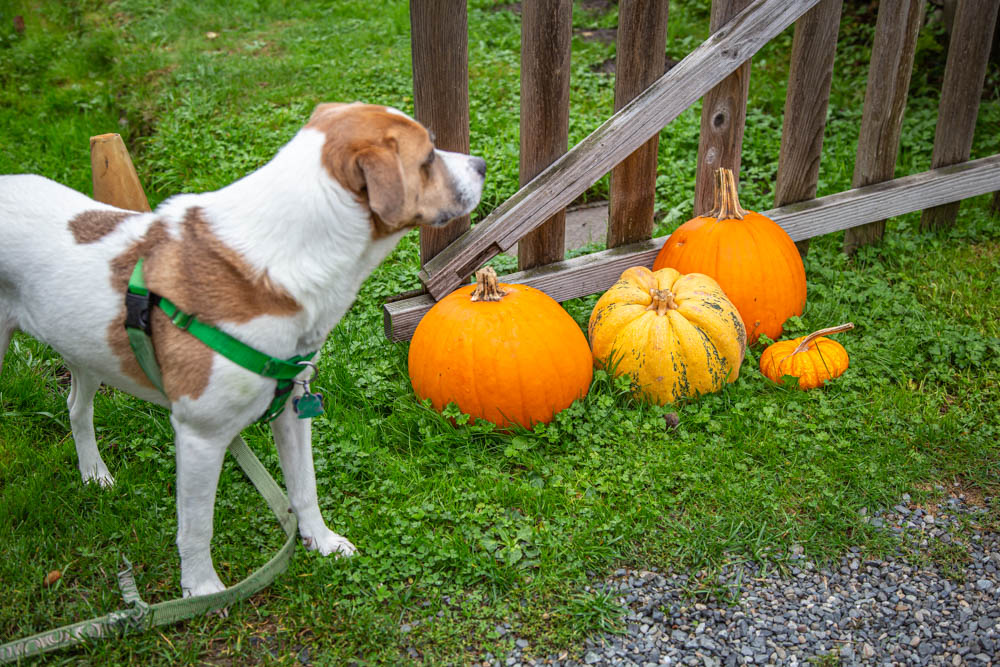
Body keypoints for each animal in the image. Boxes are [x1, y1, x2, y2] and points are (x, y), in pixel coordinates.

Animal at [0, 105, 484, 600]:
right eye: (428, 157)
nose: (482, 165)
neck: (282, 254)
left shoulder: (292, 407)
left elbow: (305, 487)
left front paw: (321, 542)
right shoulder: (200, 436)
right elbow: (197, 528)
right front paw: (202, 591)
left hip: (86, 350)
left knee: (76, 407)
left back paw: (94, 474)